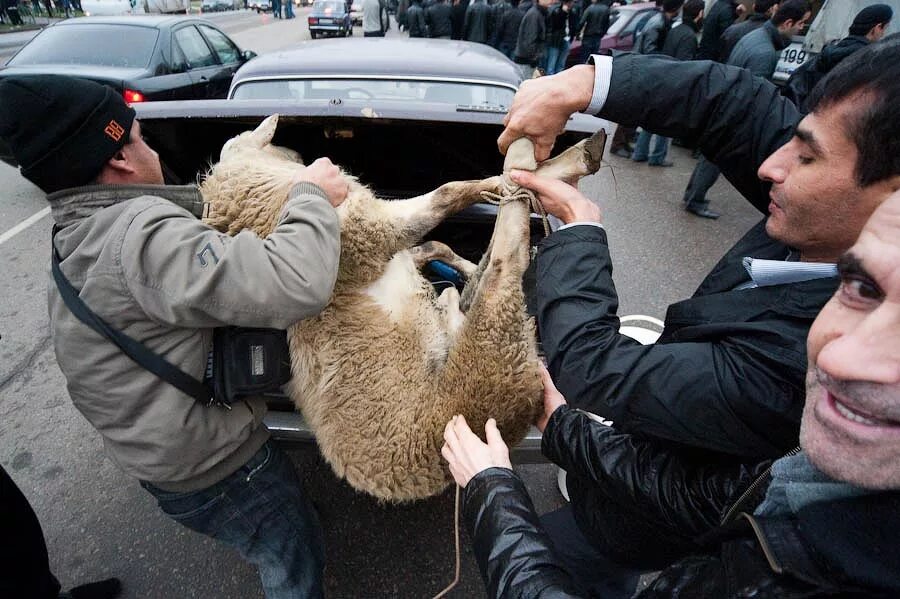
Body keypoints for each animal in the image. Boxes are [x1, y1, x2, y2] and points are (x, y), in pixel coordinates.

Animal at [201, 116, 608, 502]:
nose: (299, 152)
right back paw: (536, 161)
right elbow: (448, 193)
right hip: (490, 352)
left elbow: (434, 240)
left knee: (474, 278)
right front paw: (512, 177)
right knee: (506, 255)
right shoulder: (373, 230)